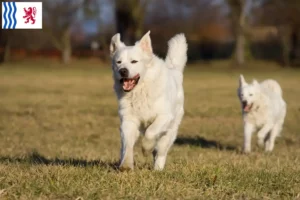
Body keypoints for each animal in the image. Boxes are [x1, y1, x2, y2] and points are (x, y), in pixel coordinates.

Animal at [109, 30, 186, 170]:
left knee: (161, 152)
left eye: (134, 61)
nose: (123, 71)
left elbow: (151, 132)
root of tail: (174, 71)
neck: (140, 91)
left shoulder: (164, 116)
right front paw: (126, 165)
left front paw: (146, 148)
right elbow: (128, 145)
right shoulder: (128, 120)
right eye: (118, 62)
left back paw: (158, 169)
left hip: (169, 133)